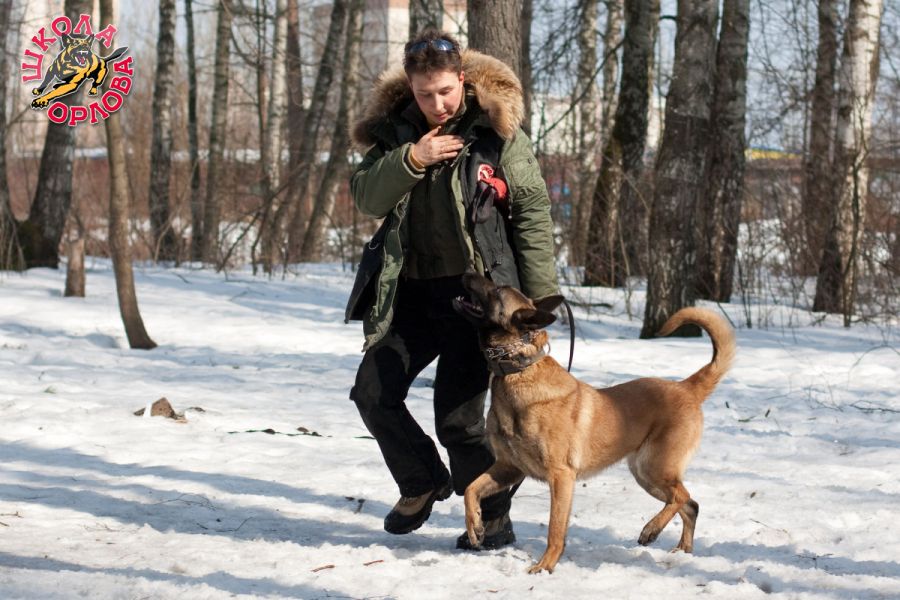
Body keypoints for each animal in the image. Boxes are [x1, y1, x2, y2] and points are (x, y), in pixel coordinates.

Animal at [452, 273, 735, 573]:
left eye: (497, 290)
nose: (466, 274)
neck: (518, 371)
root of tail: (686, 387)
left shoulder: (561, 476)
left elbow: (555, 530)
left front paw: (545, 566)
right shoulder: (508, 469)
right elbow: (471, 489)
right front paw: (475, 526)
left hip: (655, 468)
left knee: (681, 497)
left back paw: (651, 530)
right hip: (647, 475)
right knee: (690, 504)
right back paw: (683, 550)